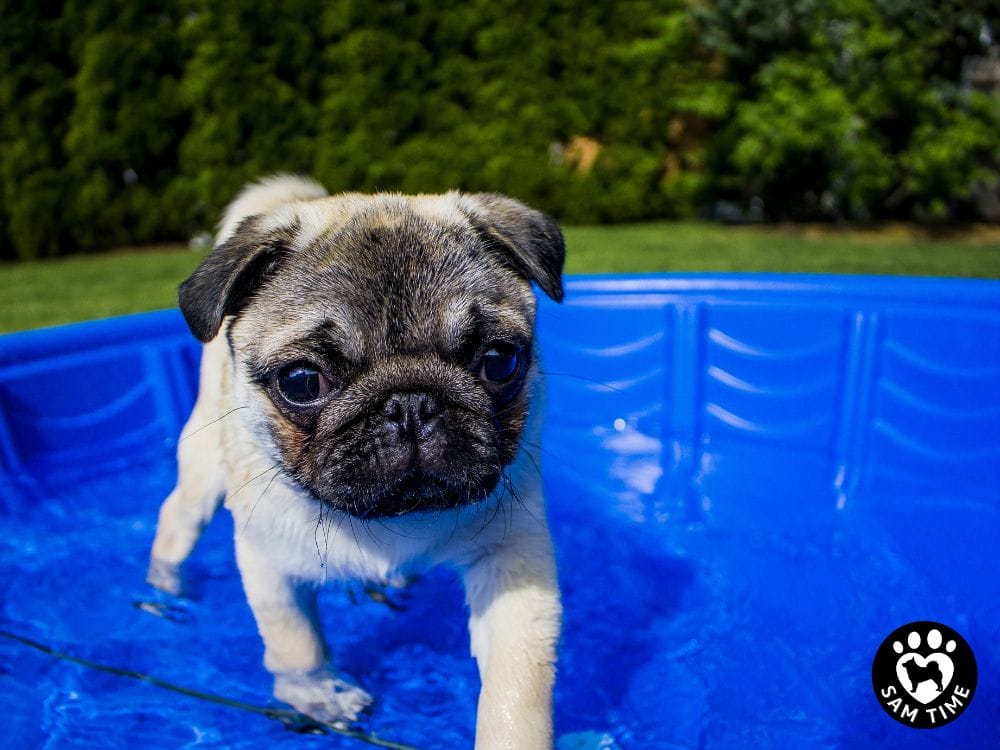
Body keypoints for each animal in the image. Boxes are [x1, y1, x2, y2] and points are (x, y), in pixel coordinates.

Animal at [148, 173, 568, 748]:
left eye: (500, 362)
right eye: (302, 382)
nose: (410, 403)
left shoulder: (512, 562)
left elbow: (517, 687)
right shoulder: (268, 563)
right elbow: (296, 643)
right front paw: (317, 693)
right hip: (203, 472)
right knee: (177, 520)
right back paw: (163, 587)